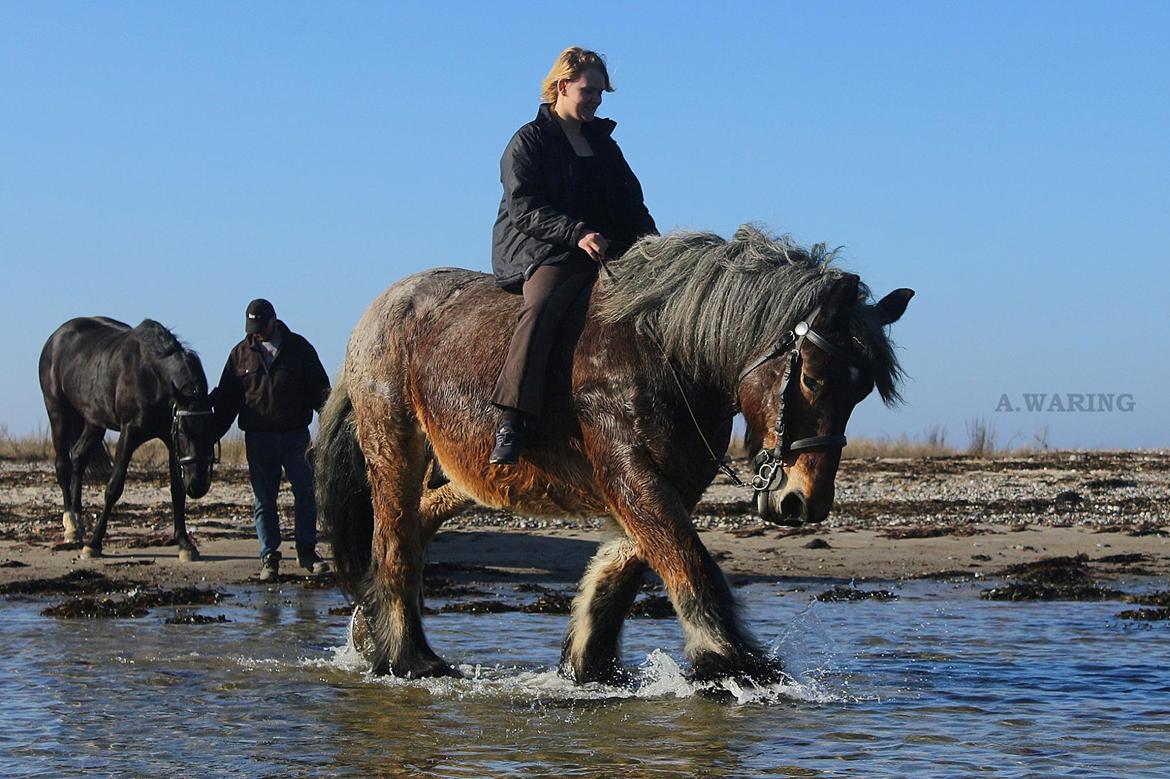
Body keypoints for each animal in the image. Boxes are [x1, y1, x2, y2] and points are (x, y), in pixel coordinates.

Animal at [38, 315, 218, 559]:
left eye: (213, 431)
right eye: (184, 431)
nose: (198, 485)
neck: (153, 377)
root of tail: (55, 337)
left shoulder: (170, 440)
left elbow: (177, 490)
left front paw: (185, 544)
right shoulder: (130, 434)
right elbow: (114, 487)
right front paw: (94, 544)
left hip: (94, 422)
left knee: (78, 458)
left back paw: (77, 520)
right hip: (57, 411)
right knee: (63, 464)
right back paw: (72, 526)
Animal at [318, 224, 912, 678]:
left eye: (861, 392)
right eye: (811, 379)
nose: (802, 504)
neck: (665, 351)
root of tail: (376, 312)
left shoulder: (665, 479)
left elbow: (627, 565)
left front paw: (589, 666)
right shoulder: (628, 471)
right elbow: (687, 561)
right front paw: (734, 664)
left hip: (465, 475)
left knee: (417, 524)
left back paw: (371, 631)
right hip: (394, 444)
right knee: (394, 537)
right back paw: (408, 659)